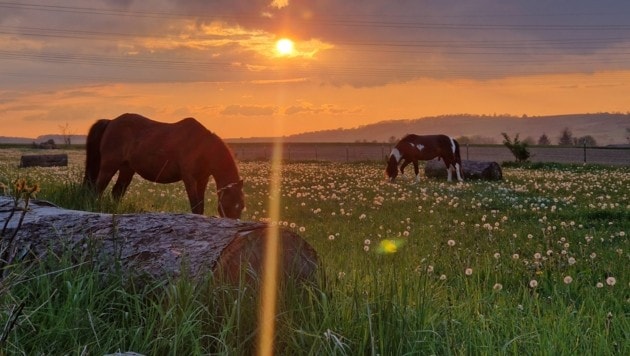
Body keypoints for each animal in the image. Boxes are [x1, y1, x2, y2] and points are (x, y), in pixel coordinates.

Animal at [86, 112, 247, 218]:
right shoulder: (189, 178)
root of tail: (111, 121)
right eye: (228, 204)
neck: (202, 146)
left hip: (127, 169)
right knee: (97, 190)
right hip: (109, 166)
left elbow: (200, 205)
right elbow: (195, 205)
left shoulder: (202, 179)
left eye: (241, 206)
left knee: (116, 192)